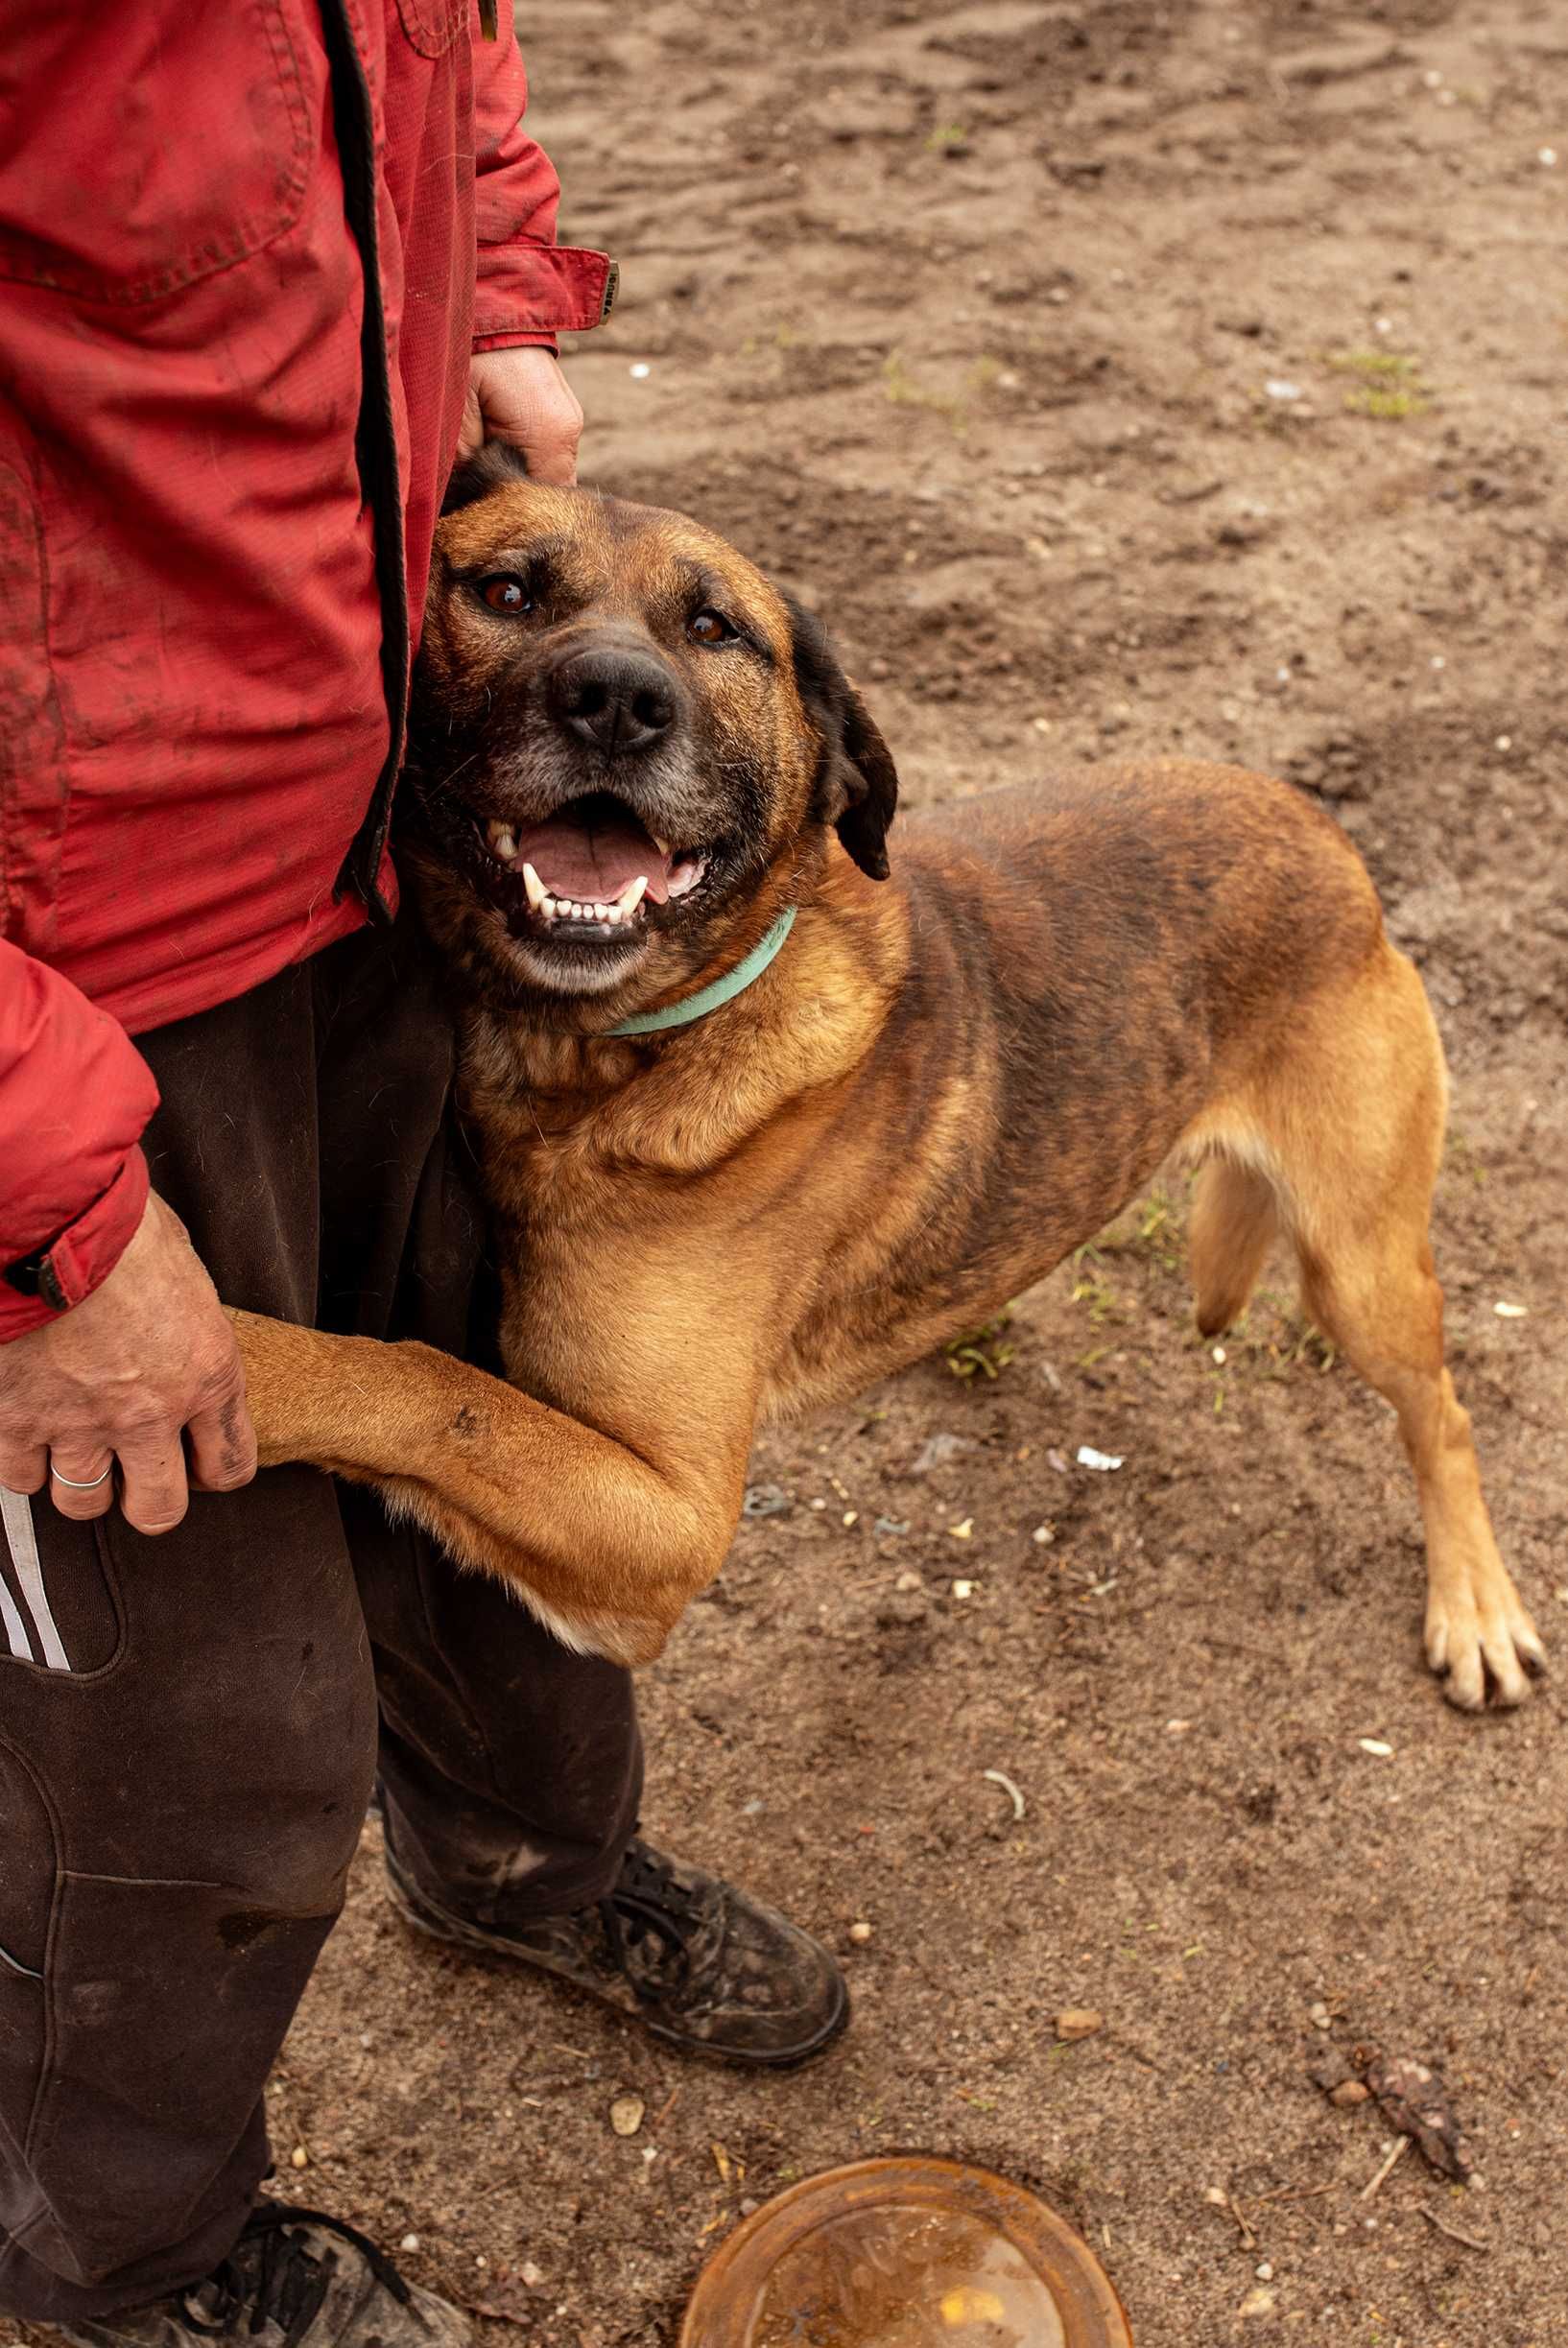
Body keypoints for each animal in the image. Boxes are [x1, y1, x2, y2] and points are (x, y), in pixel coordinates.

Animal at [235, 453, 1539, 1709]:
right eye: (504, 593)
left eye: (713, 627)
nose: (614, 701)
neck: (614, 1047)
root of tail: (1315, 822)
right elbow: (445, 1385)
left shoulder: (669, 1518)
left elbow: (418, 1382)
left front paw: (245, 1361)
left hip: (1358, 1266)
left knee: (1443, 1414)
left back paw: (1474, 1609)